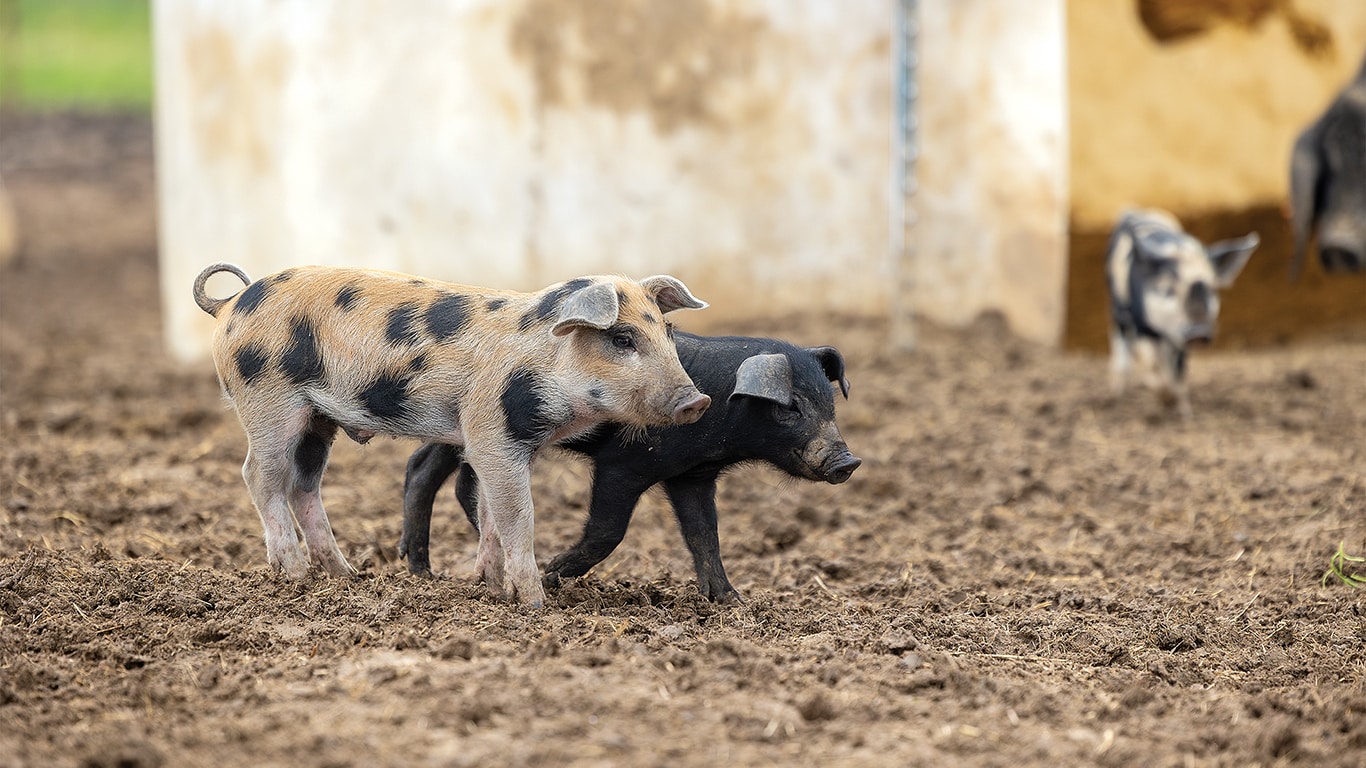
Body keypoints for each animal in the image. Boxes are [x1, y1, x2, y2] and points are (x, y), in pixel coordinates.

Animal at [192, 262, 710, 607]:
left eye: (667, 333)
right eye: (622, 339)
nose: (697, 401)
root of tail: (230, 304)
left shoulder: (502, 443)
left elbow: (491, 514)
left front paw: (493, 588)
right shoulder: (492, 433)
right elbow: (518, 515)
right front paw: (535, 604)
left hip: (318, 419)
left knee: (303, 485)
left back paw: (347, 576)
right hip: (268, 400)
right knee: (258, 475)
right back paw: (296, 574)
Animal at [399, 333, 861, 603]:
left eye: (830, 403)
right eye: (791, 408)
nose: (848, 461)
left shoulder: (691, 475)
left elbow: (704, 535)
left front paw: (732, 602)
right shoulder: (623, 464)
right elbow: (610, 530)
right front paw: (552, 574)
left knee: (435, 471)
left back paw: (424, 569)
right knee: (434, 470)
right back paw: (427, 573)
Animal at [1105, 209, 1259, 419]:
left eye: (1211, 290)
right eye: (1167, 289)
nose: (1198, 332)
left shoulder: (1179, 335)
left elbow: (1179, 367)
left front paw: (1185, 414)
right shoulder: (1141, 323)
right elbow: (1150, 362)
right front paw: (1167, 401)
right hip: (1118, 308)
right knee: (1123, 344)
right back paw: (1115, 398)